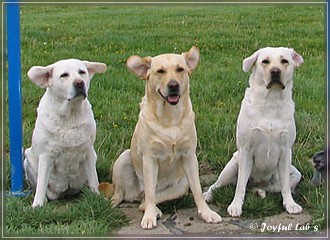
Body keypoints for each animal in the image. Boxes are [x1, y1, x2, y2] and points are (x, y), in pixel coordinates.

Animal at [24, 58, 107, 208]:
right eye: (64, 75)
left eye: (82, 72)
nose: (79, 83)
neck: (70, 114)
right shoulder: (46, 155)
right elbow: (41, 183)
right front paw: (37, 204)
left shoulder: (88, 152)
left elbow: (94, 180)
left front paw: (98, 197)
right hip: (28, 159)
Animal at [111, 46, 222, 229]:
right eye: (160, 71)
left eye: (180, 69)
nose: (173, 85)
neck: (170, 118)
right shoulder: (150, 158)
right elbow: (150, 194)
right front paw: (149, 218)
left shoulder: (189, 156)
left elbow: (198, 190)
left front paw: (206, 213)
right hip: (124, 157)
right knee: (129, 194)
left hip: (182, 185)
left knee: (145, 201)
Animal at [204, 47, 304, 218]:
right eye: (265, 61)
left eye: (284, 61)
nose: (275, 71)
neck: (271, 101)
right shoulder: (246, 150)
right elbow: (240, 186)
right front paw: (235, 206)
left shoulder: (286, 152)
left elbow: (285, 186)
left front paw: (290, 204)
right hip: (232, 165)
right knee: (218, 185)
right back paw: (208, 196)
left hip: (295, 174)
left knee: (274, 187)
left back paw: (260, 191)